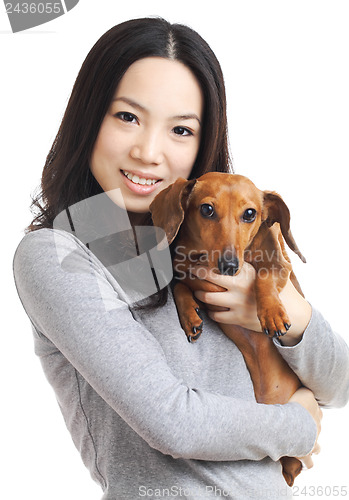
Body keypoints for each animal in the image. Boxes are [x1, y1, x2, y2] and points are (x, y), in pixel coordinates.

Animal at [150, 173, 308, 488]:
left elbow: (263, 276)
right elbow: (180, 285)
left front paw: (272, 313)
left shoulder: (279, 265)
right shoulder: (190, 276)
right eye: (207, 209)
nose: (229, 265)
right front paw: (189, 315)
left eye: (250, 214)